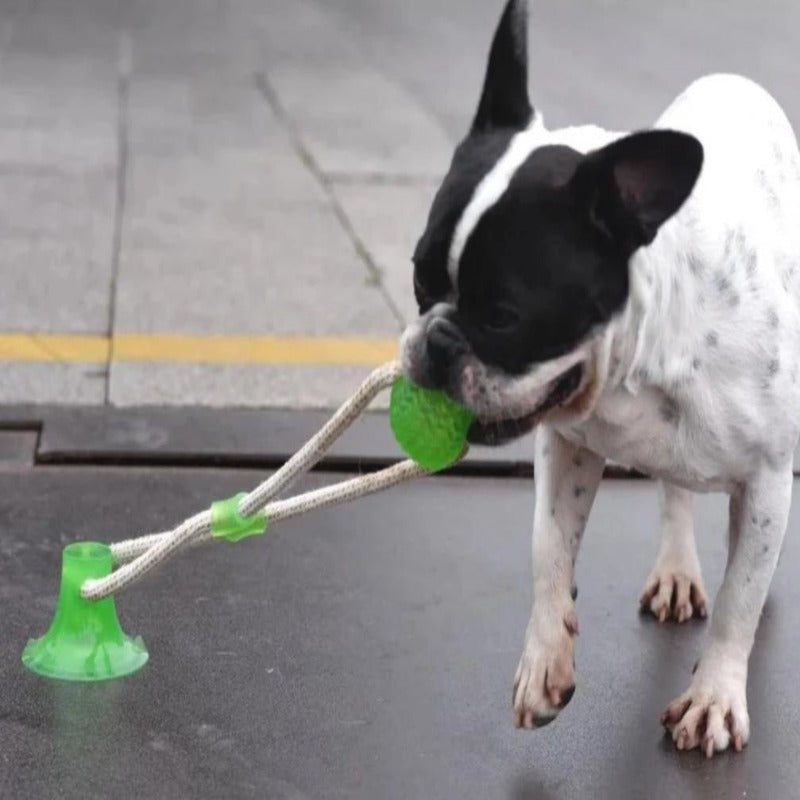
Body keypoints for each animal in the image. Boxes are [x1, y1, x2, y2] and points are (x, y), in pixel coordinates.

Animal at [404, 0, 800, 756]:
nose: (434, 342)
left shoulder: (767, 477)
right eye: (419, 278)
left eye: (504, 316)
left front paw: (714, 695)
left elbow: (739, 600)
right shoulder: (567, 444)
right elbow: (548, 547)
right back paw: (676, 567)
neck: (638, 361)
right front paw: (544, 659)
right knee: (676, 491)